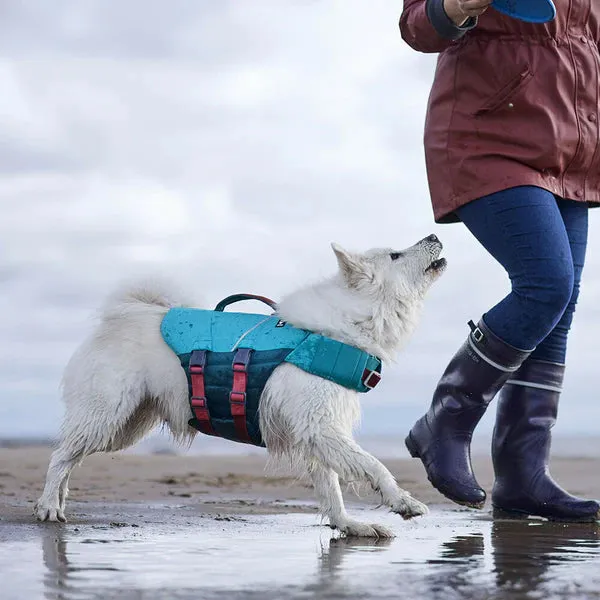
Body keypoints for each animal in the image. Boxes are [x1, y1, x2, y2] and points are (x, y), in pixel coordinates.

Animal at [32, 236, 446, 540]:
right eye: (395, 254)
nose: (435, 235)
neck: (349, 324)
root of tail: (120, 315)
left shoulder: (315, 434)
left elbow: (332, 487)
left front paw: (348, 525)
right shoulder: (321, 428)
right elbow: (374, 465)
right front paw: (403, 502)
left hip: (126, 424)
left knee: (70, 457)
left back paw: (59, 500)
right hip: (108, 415)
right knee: (60, 456)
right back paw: (49, 505)